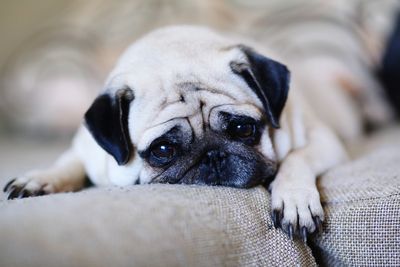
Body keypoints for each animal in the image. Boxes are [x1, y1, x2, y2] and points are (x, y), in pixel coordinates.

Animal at [3, 26, 346, 242]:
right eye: (163, 150)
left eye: (242, 128)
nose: (213, 154)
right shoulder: (88, 150)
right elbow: (68, 163)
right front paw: (41, 179)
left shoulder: (324, 140)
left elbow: (297, 159)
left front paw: (293, 199)